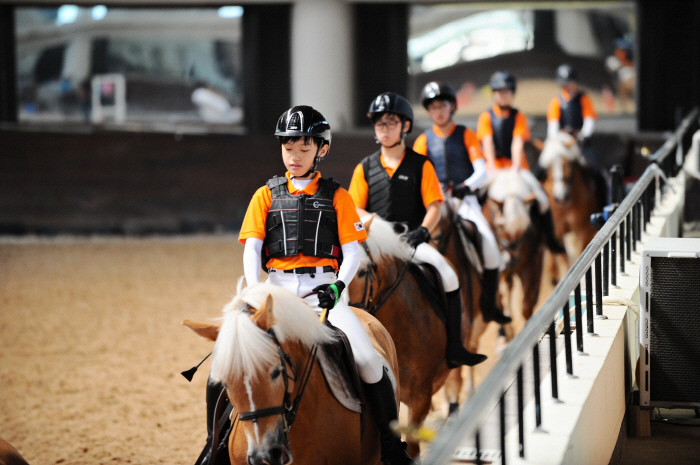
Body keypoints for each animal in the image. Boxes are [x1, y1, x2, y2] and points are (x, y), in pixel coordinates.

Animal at [486, 169, 548, 334]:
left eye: (524, 229)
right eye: (499, 227)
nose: (511, 260)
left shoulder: (527, 266)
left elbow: (526, 305)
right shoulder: (500, 272)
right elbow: (503, 303)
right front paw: (508, 332)